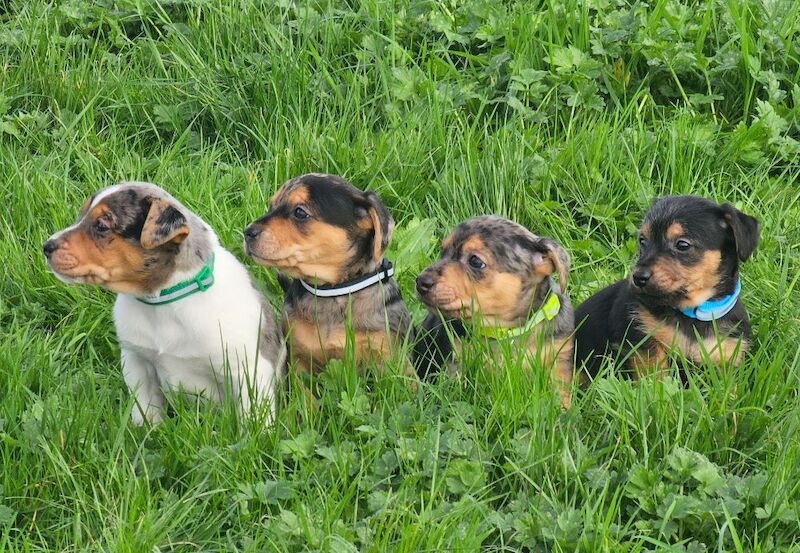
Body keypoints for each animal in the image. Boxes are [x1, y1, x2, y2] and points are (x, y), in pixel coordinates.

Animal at [43, 183, 286, 424]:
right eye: (82, 214)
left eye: (101, 226)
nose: (46, 246)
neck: (161, 303)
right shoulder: (136, 361)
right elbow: (144, 410)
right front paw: (147, 431)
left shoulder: (247, 369)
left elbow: (253, 416)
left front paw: (257, 433)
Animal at [244, 174, 412, 380]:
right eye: (271, 206)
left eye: (300, 212)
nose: (247, 232)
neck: (333, 291)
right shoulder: (298, 360)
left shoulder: (393, 358)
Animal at [412, 218, 576, 408]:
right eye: (442, 251)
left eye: (475, 261)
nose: (421, 282)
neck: (507, 330)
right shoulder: (455, 361)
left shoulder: (558, 359)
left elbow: (560, 394)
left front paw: (564, 412)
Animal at [580, 196, 760, 382]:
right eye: (642, 241)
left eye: (682, 245)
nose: (638, 277)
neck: (691, 312)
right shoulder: (643, 340)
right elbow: (656, 373)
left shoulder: (726, 353)